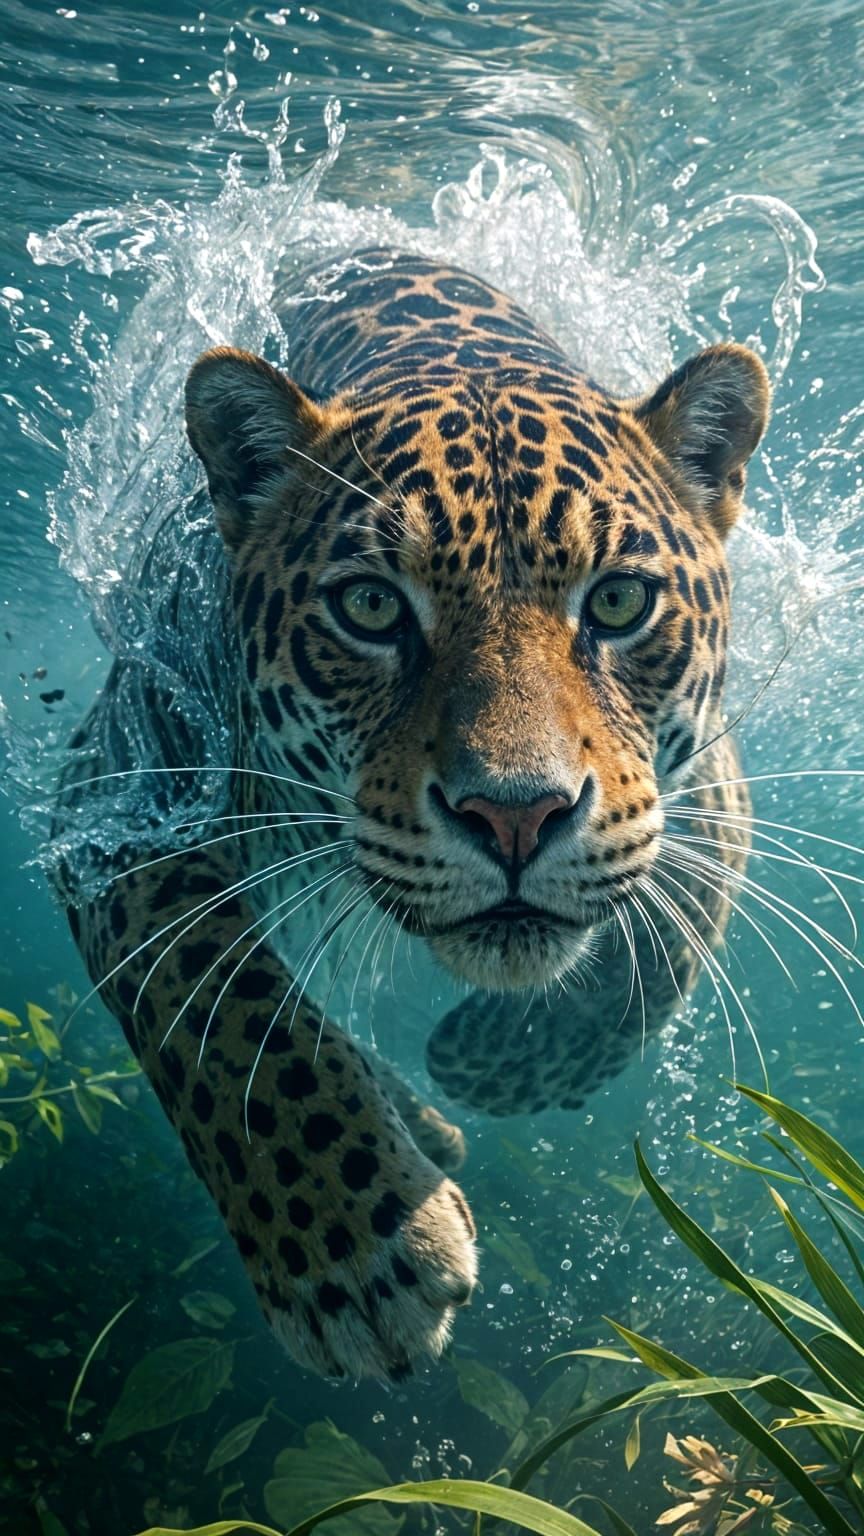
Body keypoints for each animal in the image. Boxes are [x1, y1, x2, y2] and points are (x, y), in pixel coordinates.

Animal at [51, 246, 768, 1381]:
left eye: (618, 602)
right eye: (372, 607)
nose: (516, 815)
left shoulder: (703, 782)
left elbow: (679, 933)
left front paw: (503, 1065)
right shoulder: (120, 801)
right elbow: (215, 1005)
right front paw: (355, 1249)